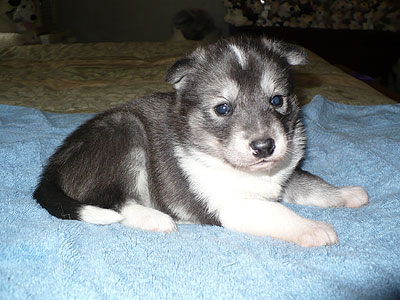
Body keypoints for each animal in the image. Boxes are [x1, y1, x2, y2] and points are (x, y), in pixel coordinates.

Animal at [33, 36, 368, 247]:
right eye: (223, 108)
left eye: (276, 100)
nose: (264, 147)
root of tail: (51, 170)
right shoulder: (230, 205)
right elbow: (280, 213)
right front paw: (315, 229)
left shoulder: (282, 177)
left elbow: (309, 183)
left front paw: (348, 193)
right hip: (124, 135)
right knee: (112, 201)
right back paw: (156, 219)